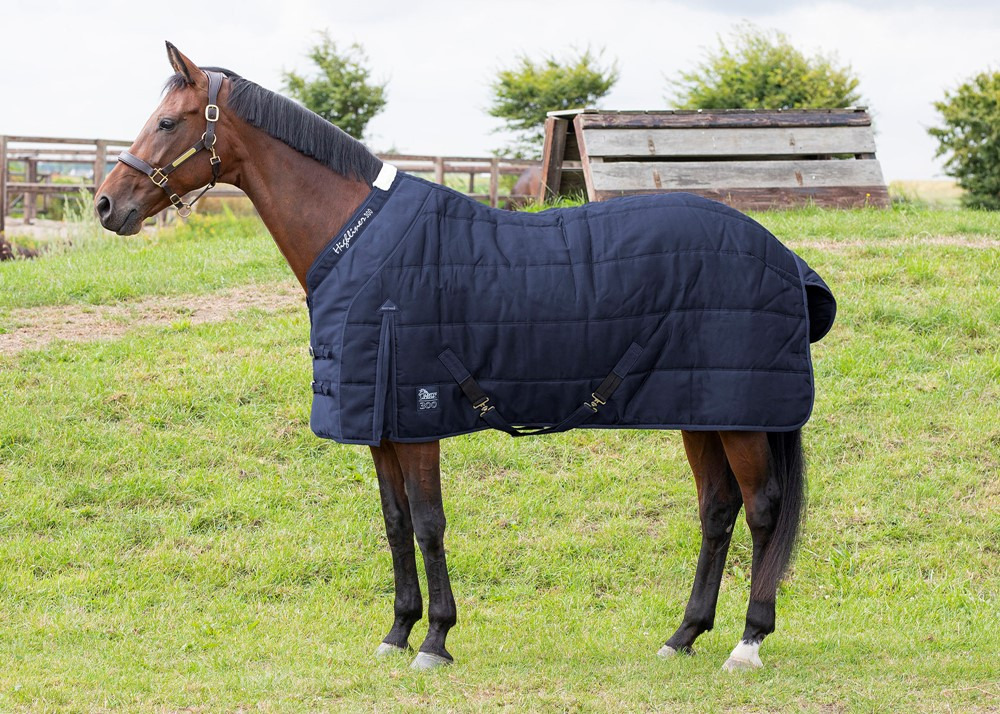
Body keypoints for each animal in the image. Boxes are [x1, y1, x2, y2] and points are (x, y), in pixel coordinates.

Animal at [95, 42, 834, 672]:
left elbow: (428, 524)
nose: (106, 204)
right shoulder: (380, 425)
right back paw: (683, 636)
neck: (361, 243)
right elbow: (395, 524)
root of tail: (782, 256)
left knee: (762, 509)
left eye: (167, 122)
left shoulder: (418, 417)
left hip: (740, 416)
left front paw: (436, 640)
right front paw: (397, 632)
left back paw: (748, 642)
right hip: (701, 409)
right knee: (717, 510)